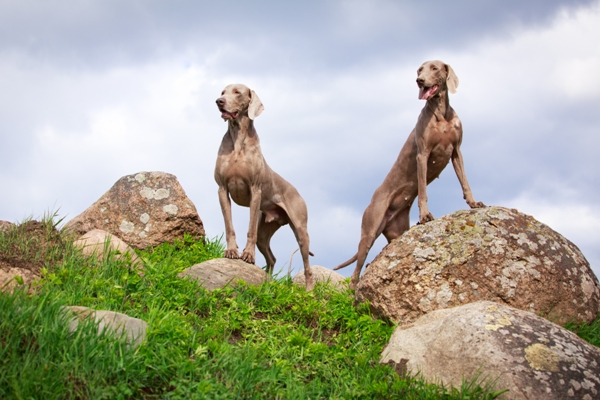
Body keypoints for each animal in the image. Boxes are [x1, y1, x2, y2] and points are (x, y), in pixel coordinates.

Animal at [336, 59, 486, 288]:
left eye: (434, 68)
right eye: (419, 70)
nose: (419, 80)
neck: (441, 113)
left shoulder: (457, 151)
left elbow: (465, 182)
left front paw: (473, 203)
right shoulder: (423, 154)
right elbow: (423, 190)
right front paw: (425, 216)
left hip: (396, 232)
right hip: (369, 229)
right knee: (356, 270)